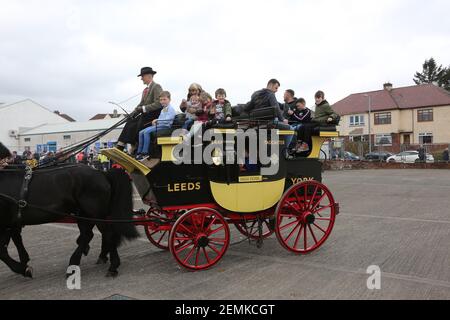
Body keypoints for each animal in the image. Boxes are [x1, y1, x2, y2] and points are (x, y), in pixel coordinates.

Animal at [0, 142, 139, 278]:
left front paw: (23, 268)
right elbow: (14, 241)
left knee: (106, 234)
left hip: (95, 212)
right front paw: (24, 262)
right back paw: (78, 261)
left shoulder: (5, 224)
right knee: (88, 234)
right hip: (83, 213)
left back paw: (112, 266)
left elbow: (3, 251)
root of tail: (101, 173)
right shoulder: (11, 223)